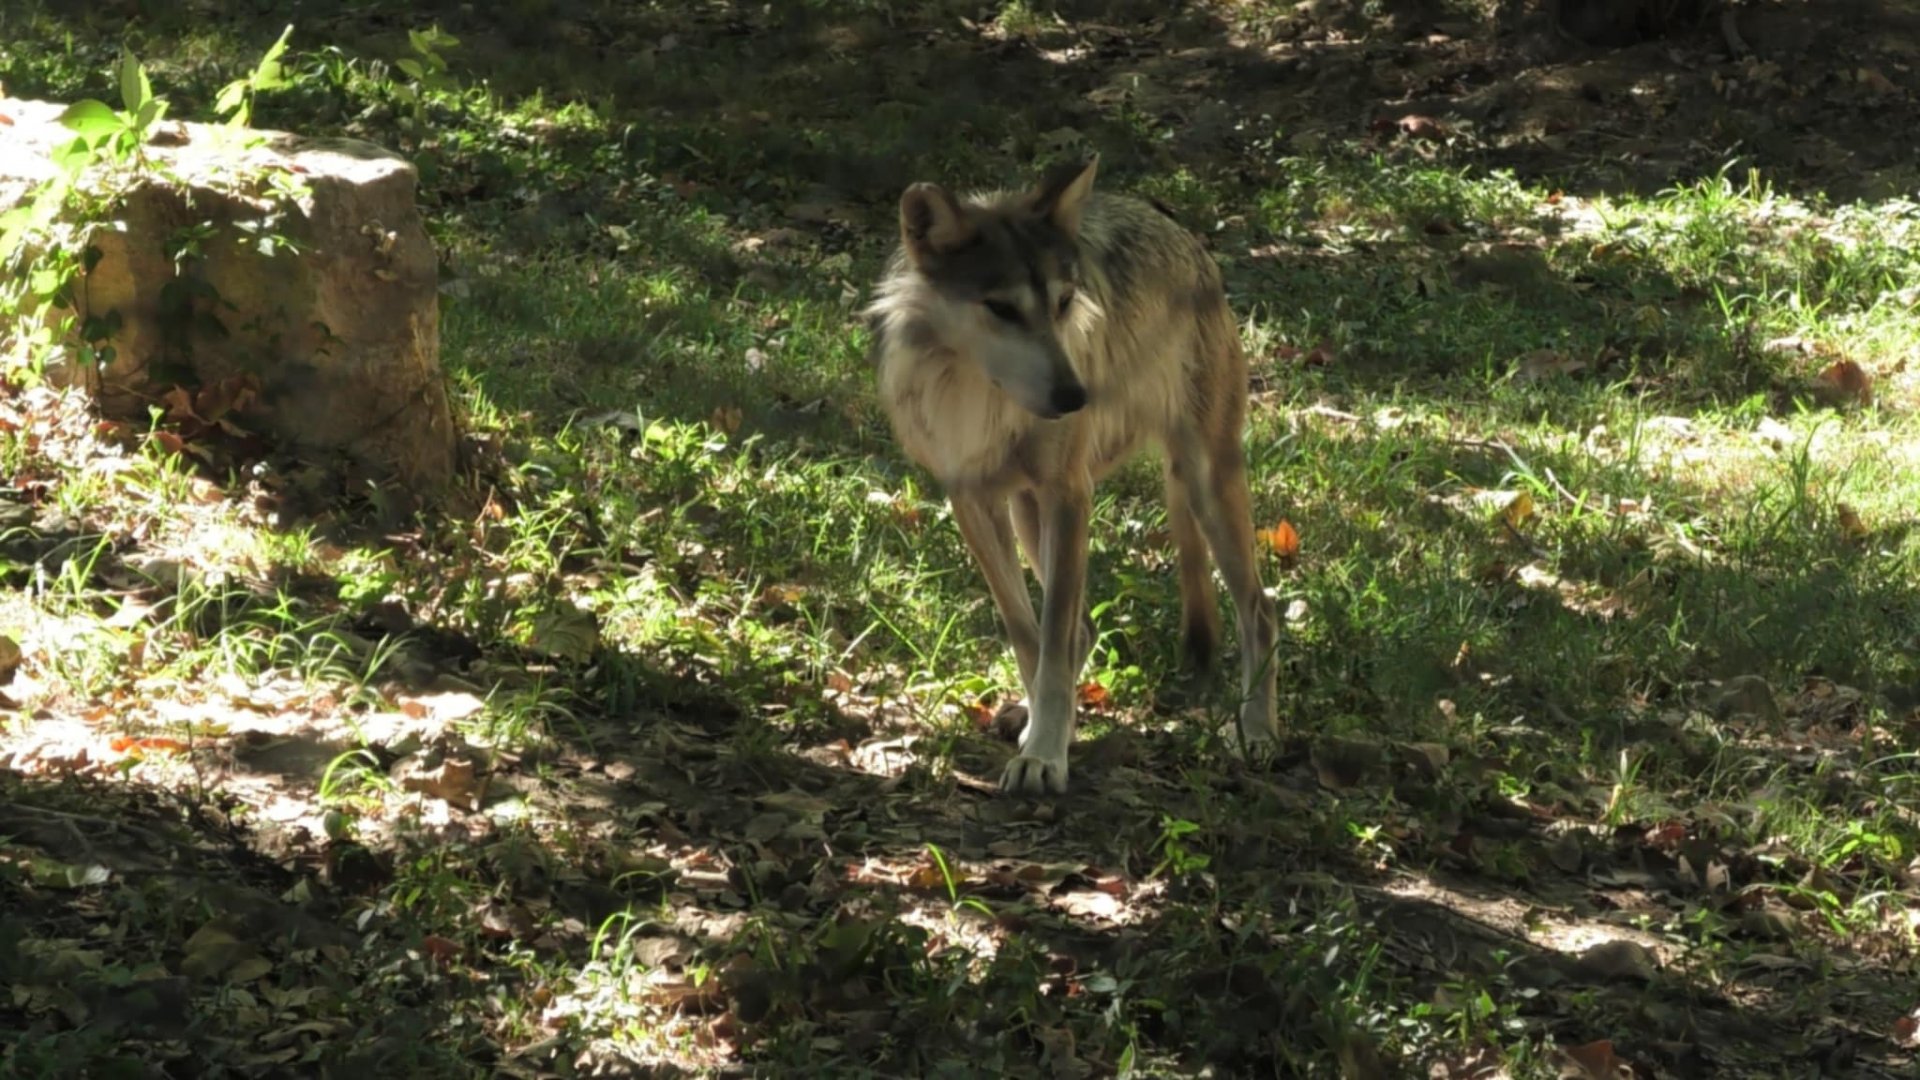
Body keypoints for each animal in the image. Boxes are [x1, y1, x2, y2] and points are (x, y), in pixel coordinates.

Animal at [864, 157, 1280, 797]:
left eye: (1063, 303)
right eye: (1002, 308)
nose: (1075, 397)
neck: (979, 396)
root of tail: (1183, 235)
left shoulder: (1068, 495)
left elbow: (1054, 637)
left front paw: (1045, 753)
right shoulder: (972, 500)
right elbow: (1030, 633)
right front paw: (1046, 732)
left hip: (1205, 483)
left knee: (1261, 611)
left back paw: (1258, 734)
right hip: (1028, 512)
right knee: (1082, 628)